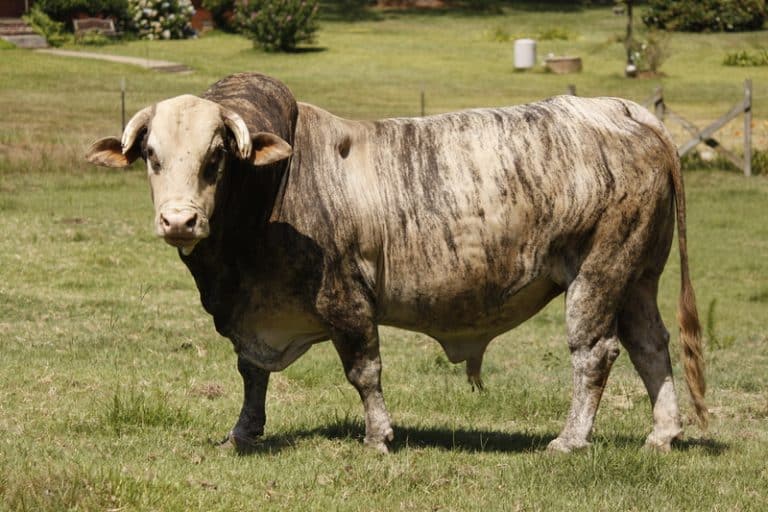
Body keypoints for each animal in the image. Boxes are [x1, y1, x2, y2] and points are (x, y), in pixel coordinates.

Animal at [85, 72, 706, 454]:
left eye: (216, 157)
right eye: (151, 156)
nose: (179, 221)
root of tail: (623, 111)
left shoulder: (346, 297)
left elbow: (364, 370)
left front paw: (378, 436)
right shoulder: (254, 315)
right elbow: (252, 373)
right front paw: (242, 432)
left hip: (599, 272)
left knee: (594, 353)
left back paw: (570, 439)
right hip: (637, 276)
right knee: (650, 346)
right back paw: (662, 435)